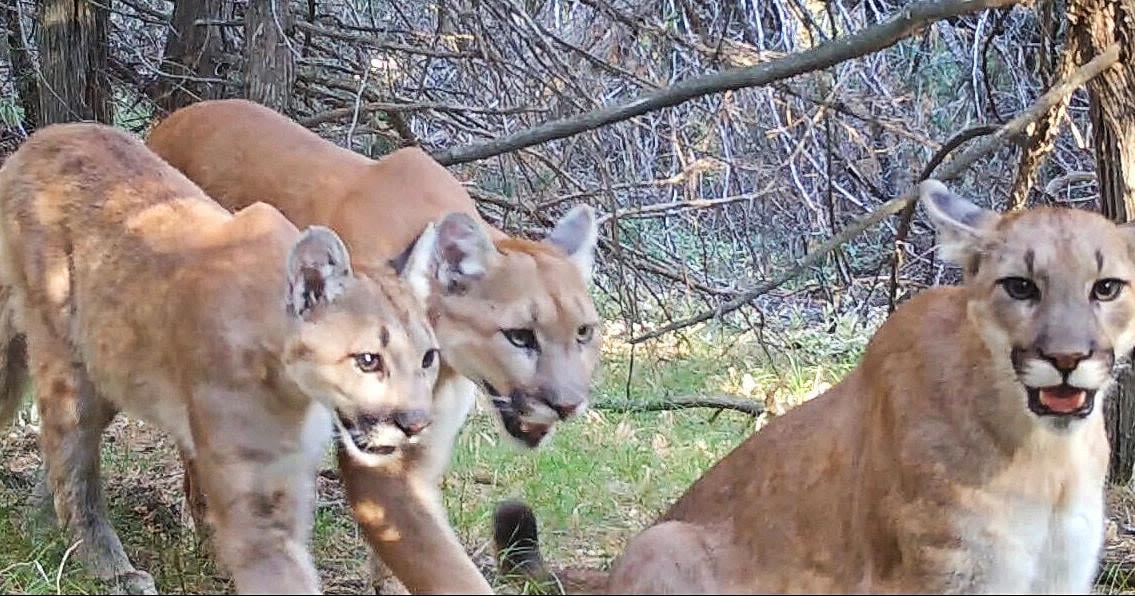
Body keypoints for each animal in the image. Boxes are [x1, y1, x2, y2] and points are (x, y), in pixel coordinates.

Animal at [0, 123, 440, 590]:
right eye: (368, 359)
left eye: (428, 357)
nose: (416, 423)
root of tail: (43, 138)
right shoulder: (252, 493)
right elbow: (279, 572)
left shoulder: (288, 478)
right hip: (65, 361)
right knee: (74, 464)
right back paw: (112, 570)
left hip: (107, 369)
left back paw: (42, 529)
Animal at [146, 97, 603, 590]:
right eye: (520, 335)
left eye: (584, 332)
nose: (568, 404)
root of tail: (176, 116)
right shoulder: (378, 461)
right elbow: (444, 568)